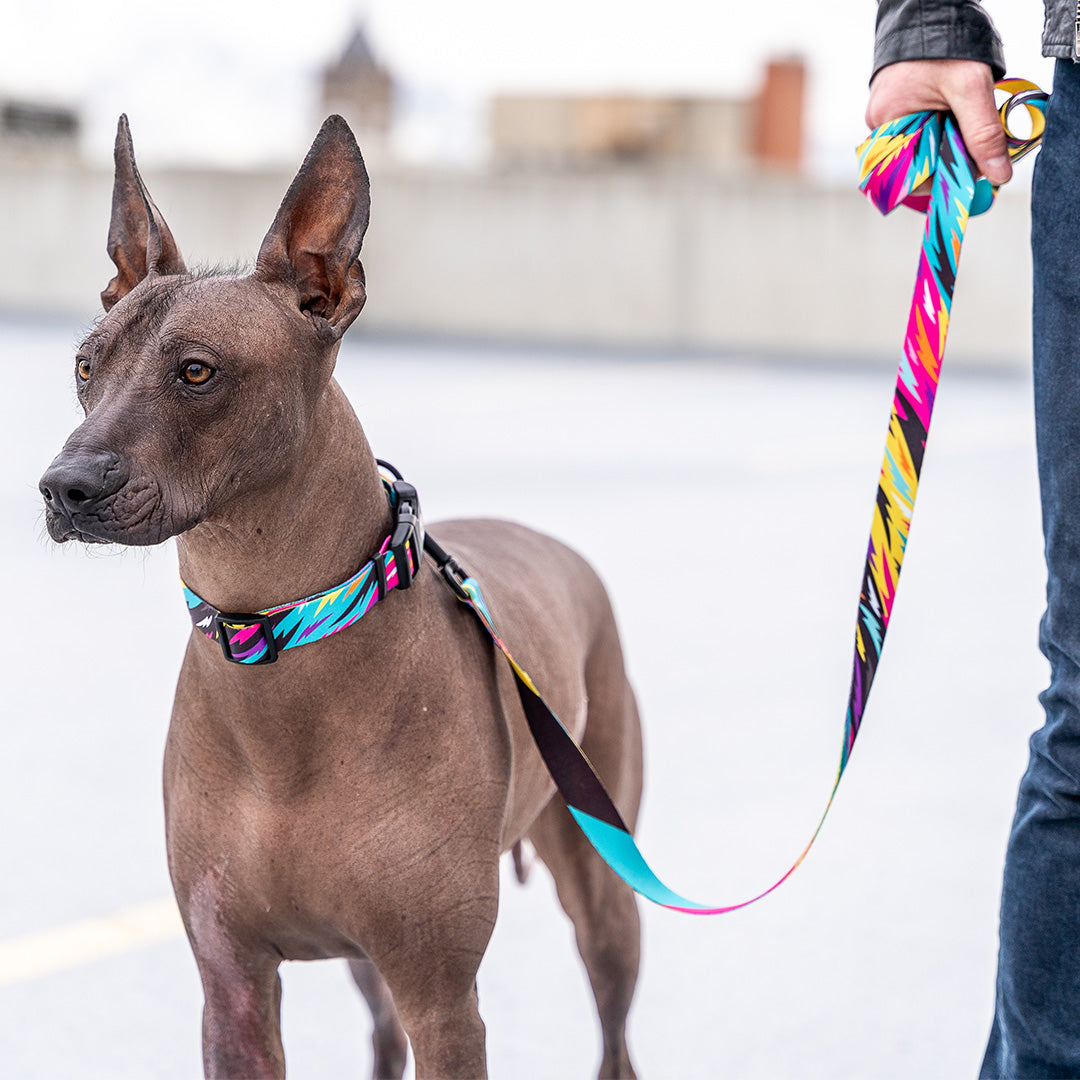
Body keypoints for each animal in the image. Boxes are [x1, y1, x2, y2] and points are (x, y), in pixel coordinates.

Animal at [38, 113, 643, 1075]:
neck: (277, 637)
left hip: (602, 896)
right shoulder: (232, 988)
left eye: (197, 372)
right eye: (87, 367)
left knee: (615, 1031)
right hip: (368, 968)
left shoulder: (445, 1001)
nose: (64, 488)